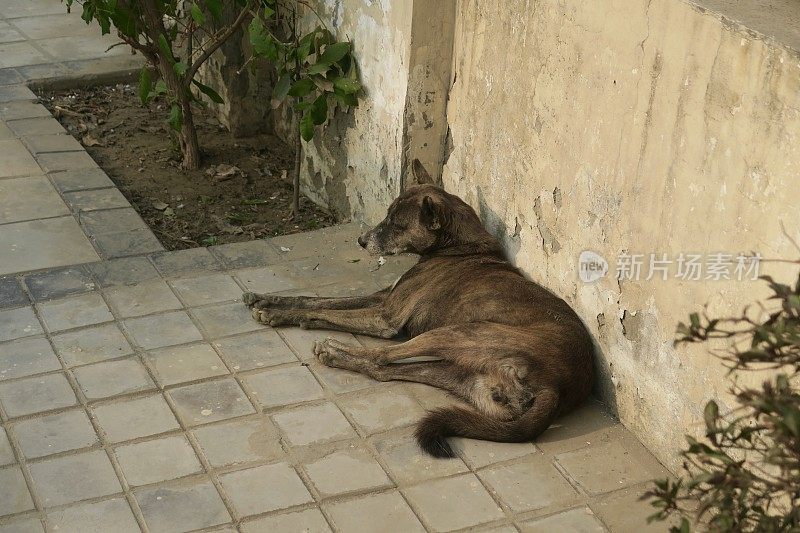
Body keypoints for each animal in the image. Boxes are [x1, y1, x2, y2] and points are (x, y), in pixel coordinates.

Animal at [244, 160, 592, 456]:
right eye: (387, 215)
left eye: (397, 225)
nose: (361, 241)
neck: (457, 248)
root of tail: (560, 386)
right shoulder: (383, 297)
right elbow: (319, 300)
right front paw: (266, 299)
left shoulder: (384, 316)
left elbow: (326, 313)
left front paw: (279, 315)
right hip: (457, 376)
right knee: (384, 371)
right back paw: (338, 357)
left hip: (454, 333)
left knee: (381, 356)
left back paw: (333, 349)